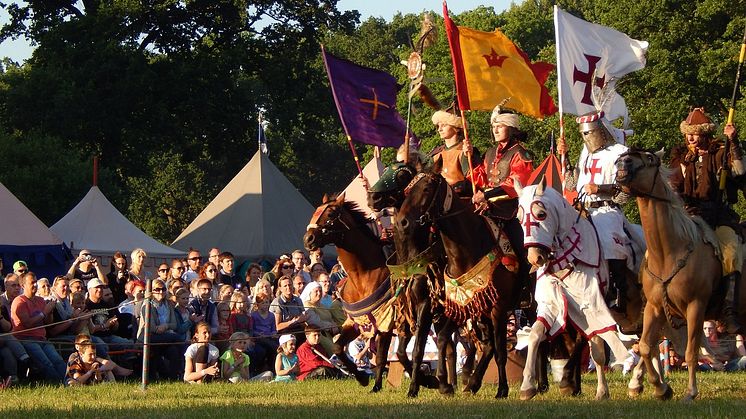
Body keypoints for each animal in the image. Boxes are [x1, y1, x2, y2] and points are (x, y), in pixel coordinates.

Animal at [302, 194, 438, 394]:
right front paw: (364, 379)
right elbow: (338, 347)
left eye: (331, 214)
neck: (363, 275)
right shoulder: (356, 322)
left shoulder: (385, 322)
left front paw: (376, 384)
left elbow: (382, 356)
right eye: (315, 212)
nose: (308, 239)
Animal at [392, 159, 520, 398]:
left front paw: (502, 389)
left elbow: (500, 350)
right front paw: (432, 383)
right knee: (486, 344)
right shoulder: (458, 304)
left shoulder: (496, 307)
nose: (402, 222)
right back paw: (471, 383)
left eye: (426, 188)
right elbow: (426, 345)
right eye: (407, 190)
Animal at [516, 179, 632, 402]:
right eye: (519, 218)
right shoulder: (551, 305)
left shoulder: (589, 305)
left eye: (541, 214)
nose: (535, 258)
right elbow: (535, 334)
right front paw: (528, 386)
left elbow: (587, 344)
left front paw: (567, 382)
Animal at [612, 149, 740, 402]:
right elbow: (645, 345)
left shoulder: (695, 307)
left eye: (649, 159)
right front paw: (658, 388)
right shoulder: (655, 307)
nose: (622, 162)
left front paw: (690, 392)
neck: (670, 251)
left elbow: (691, 351)